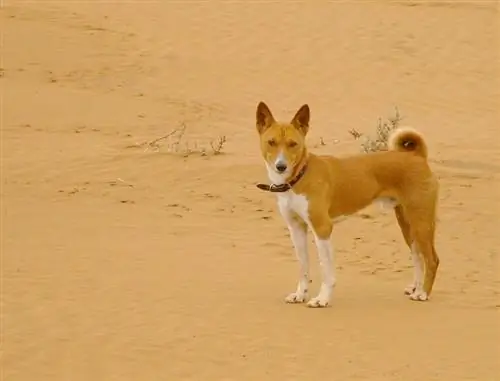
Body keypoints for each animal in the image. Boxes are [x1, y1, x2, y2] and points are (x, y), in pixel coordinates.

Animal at [256, 100, 440, 306]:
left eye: (293, 144)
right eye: (271, 142)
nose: (281, 166)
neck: (300, 176)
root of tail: (416, 156)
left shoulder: (322, 228)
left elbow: (326, 271)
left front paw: (322, 299)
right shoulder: (296, 228)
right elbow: (303, 267)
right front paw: (300, 294)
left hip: (421, 222)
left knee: (432, 259)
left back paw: (423, 293)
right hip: (407, 223)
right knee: (417, 256)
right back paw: (416, 287)